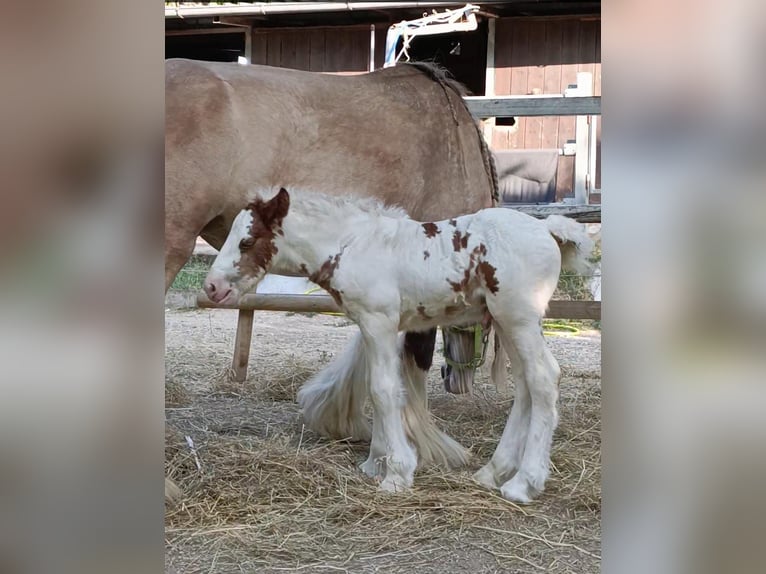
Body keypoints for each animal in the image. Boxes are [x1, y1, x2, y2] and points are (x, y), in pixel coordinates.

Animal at [204, 188, 592, 504]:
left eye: (246, 241)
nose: (211, 287)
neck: (352, 244)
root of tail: (547, 229)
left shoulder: (378, 322)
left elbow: (383, 390)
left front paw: (396, 474)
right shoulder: (379, 327)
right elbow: (381, 387)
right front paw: (376, 462)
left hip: (518, 318)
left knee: (544, 379)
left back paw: (524, 483)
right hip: (506, 322)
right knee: (526, 385)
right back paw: (492, 472)